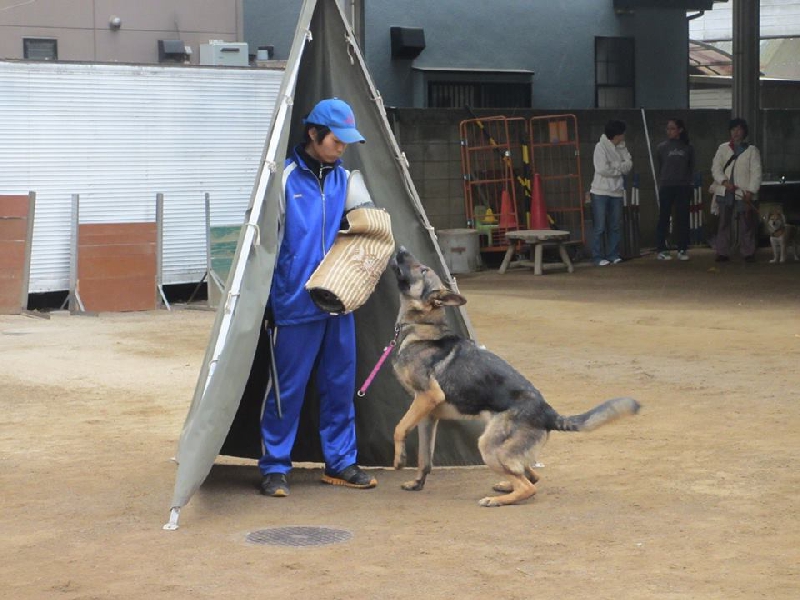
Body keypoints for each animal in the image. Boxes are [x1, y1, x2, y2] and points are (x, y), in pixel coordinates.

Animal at [389, 247, 640, 507]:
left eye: (423, 269)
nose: (401, 249)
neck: (423, 327)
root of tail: (548, 413)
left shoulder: (428, 396)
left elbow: (399, 427)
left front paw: (398, 460)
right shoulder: (428, 415)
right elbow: (424, 458)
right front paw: (417, 482)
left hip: (488, 446)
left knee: (529, 486)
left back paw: (496, 499)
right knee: (530, 474)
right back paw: (505, 486)